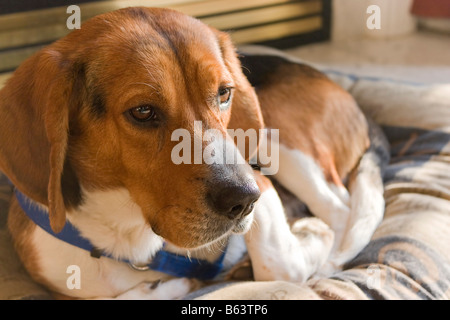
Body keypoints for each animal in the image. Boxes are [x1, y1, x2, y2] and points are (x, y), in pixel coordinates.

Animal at [0, 7, 386, 298]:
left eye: (224, 92)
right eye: (143, 111)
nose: (243, 201)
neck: (130, 232)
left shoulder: (260, 181)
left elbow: (281, 265)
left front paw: (310, 235)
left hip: (278, 136)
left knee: (339, 211)